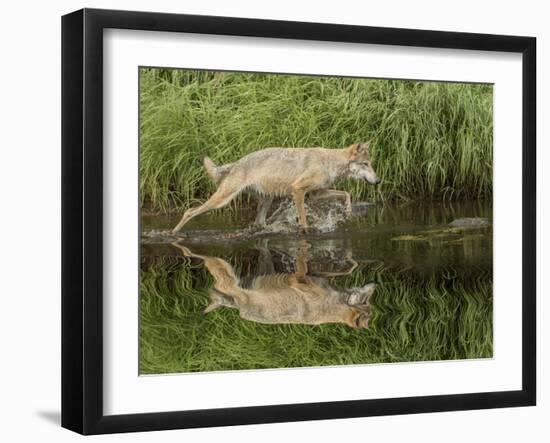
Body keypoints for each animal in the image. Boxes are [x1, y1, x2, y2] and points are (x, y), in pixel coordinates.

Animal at [172, 143, 380, 234]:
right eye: (366, 164)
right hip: (221, 201)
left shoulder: (315, 194)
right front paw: (306, 230)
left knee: (259, 224)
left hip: (266, 201)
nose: (378, 181)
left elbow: (346, 194)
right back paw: (174, 234)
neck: (329, 162)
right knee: (189, 211)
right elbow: (303, 219)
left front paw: (348, 211)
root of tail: (236, 163)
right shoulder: (298, 190)